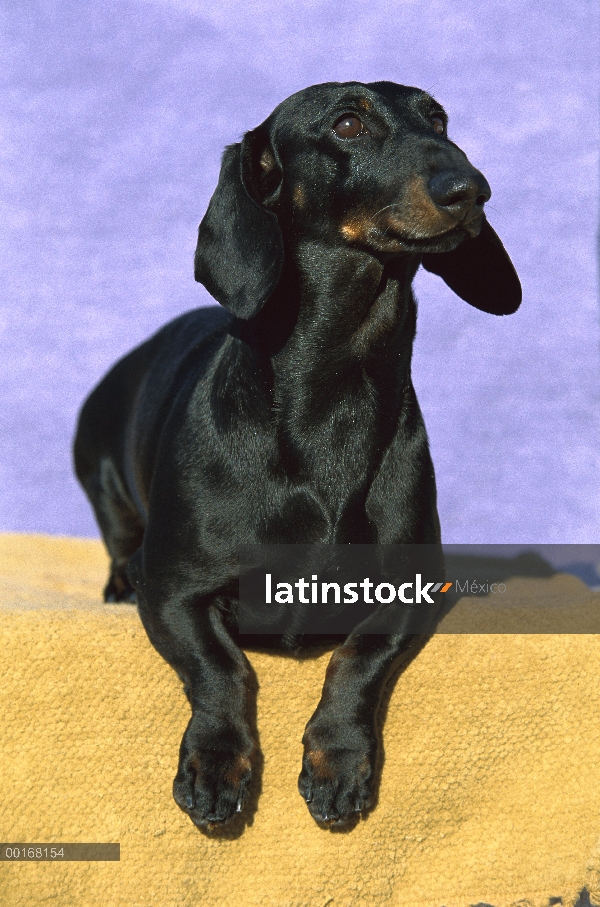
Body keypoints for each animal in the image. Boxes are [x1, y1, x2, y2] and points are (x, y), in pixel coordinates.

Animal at [75, 81, 520, 832]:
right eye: (347, 124)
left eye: (439, 119)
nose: (473, 190)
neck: (332, 389)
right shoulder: (173, 589)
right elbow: (222, 670)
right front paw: (215, 762)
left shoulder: (411, 591)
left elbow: (357, 658)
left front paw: (337, 760)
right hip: (99, 469)